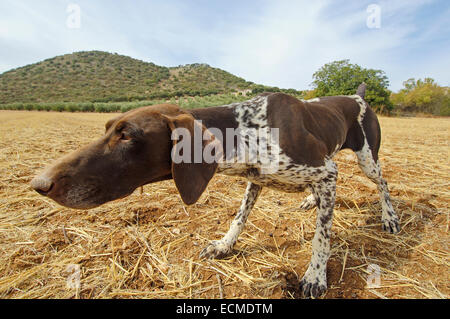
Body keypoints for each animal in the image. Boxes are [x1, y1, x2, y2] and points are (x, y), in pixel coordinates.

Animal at [29, 84, 400, 298]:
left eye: (127, 134)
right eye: (108, 129)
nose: (39, 183)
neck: (245, 130)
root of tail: (359, 96)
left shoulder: (325, 172)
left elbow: (321, 238)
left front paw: (315, 275)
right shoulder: (257, 179)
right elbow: (239, 218)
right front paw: (225, 245)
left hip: (368, 158)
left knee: (382, 184)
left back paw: (390, 218)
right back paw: (312, 200)